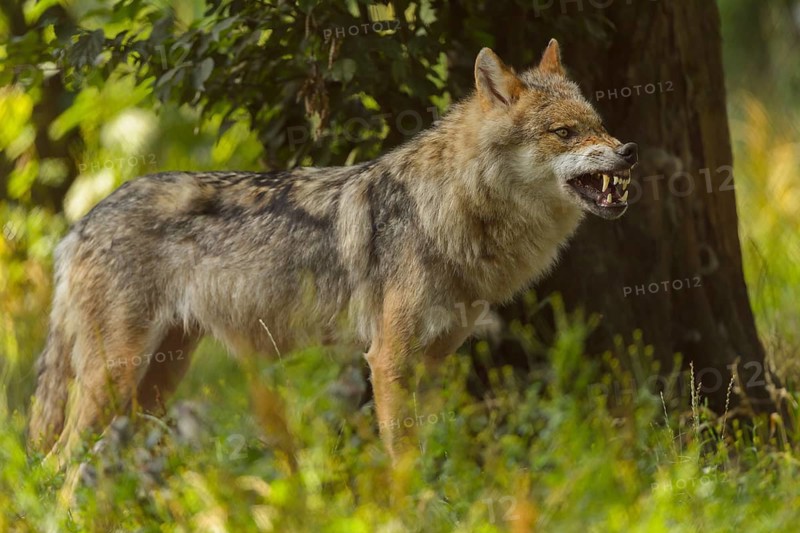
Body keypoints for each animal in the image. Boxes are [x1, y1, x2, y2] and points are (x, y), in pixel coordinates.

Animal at [29, 39, 637, 466]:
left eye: (599, 126)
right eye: (564, 133)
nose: (629, 150)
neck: (449, 209)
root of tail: (79, 223)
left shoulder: (433, 365)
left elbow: (430, 455)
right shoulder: (388, 361)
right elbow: (403, 459)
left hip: (153, 386)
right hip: (115, 378)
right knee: (61, 462)